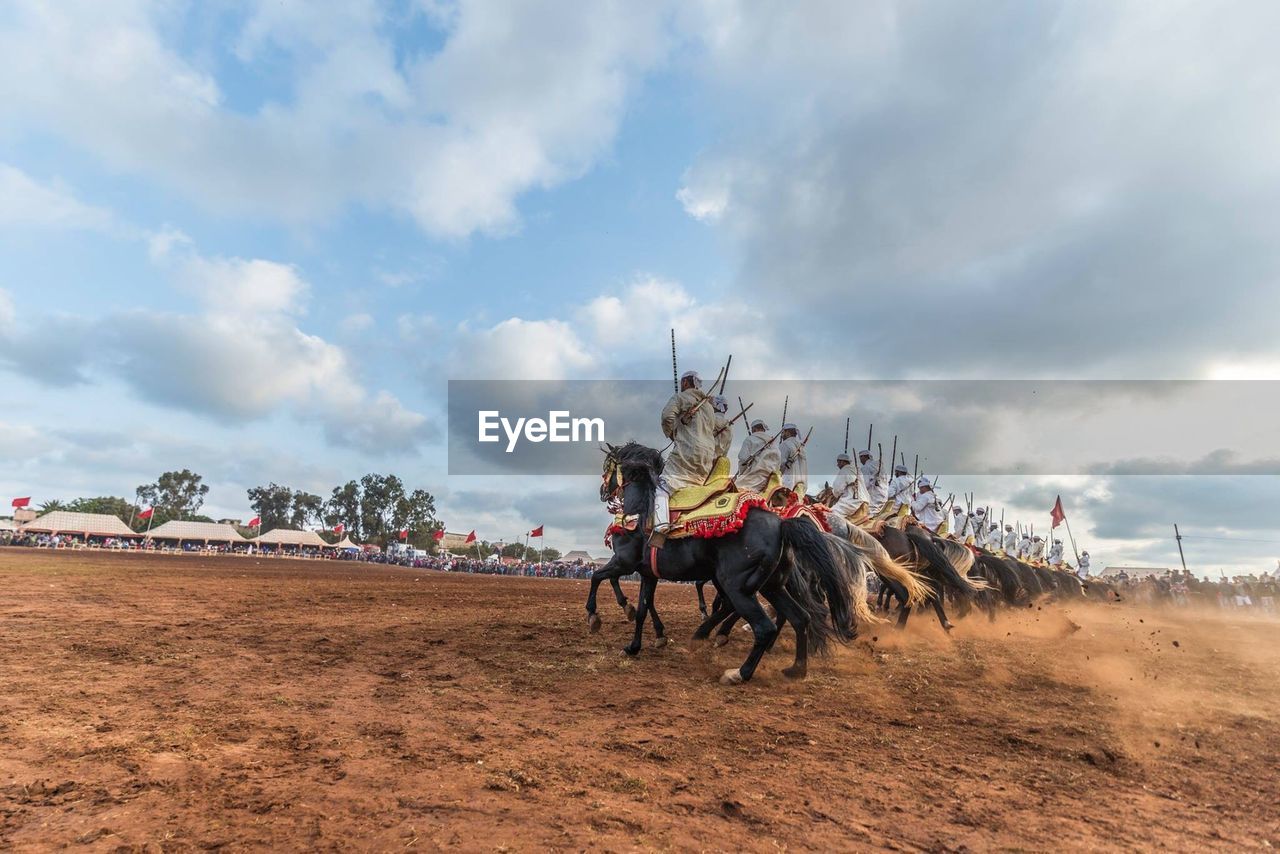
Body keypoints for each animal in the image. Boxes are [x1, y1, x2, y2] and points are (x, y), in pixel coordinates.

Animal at [591, 445, 860, 686]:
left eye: (607, 466)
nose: (604, 491)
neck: (640, 510)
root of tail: (781, 524)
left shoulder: (624, 563)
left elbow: (598, 577)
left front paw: (595, 617)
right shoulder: (648, 574)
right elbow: (642, 609)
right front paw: (635, 645)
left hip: (736, 584)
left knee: (764, 626)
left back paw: (737, 670)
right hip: (772, 586)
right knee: (800, 618)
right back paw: (795, 669)